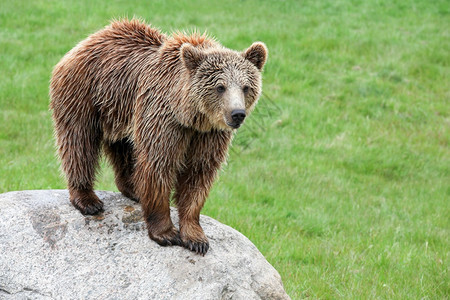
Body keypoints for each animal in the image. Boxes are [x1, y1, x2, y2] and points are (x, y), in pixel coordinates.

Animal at [49, 17, 268, 254]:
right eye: (220, 87)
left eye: (246, 87)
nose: (237, 114)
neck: (190, 116)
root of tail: (87, 41)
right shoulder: (164, 119)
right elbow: (158, 166)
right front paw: (166, 233)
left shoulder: (208, 134)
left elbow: (198, 174)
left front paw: (196, 238)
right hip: (85, 93)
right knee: (79, 142)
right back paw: (87, 199)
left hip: (120, 113)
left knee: (124, 148)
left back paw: (133, 188)